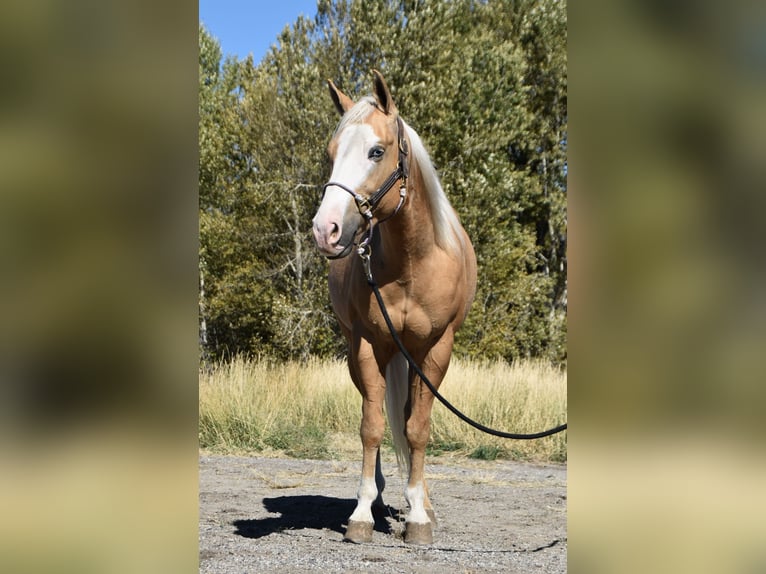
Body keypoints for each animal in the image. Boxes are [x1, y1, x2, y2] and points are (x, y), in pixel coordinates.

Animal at [312, 70, 477, 545]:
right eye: (332, 153)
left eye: (376, 151)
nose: (325, 230)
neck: (412, 262)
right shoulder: (368, 346)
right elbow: (371, 428)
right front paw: (362, 513)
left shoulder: (435, 350)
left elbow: (417, 429)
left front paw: (420, 517)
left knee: (406, 419)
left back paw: (422, 502)